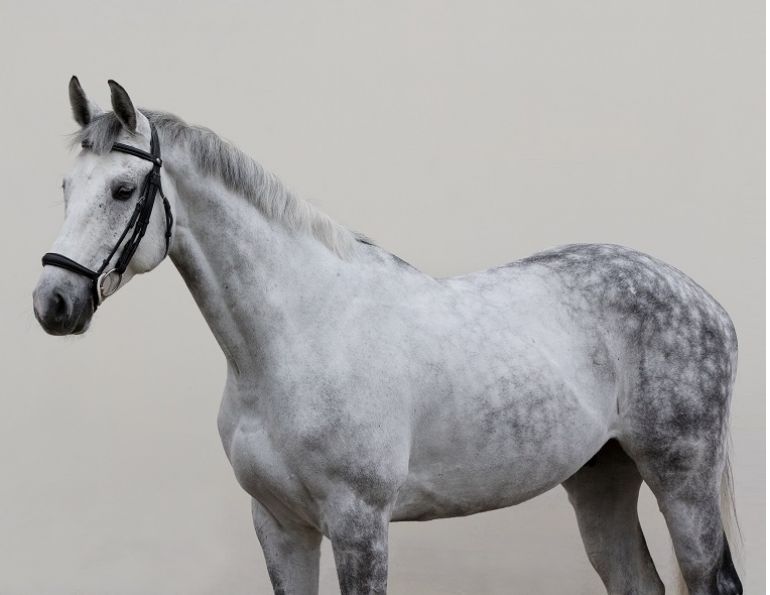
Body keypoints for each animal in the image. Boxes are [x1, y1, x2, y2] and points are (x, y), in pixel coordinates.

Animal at [33, 77, 742, 595]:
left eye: (123, 188)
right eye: (66, 186)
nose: (53, 302)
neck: (296, 339)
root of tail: (707, 303)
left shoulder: (360, 525)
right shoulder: (279, 525)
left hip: (682, 478)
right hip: (601, 477)